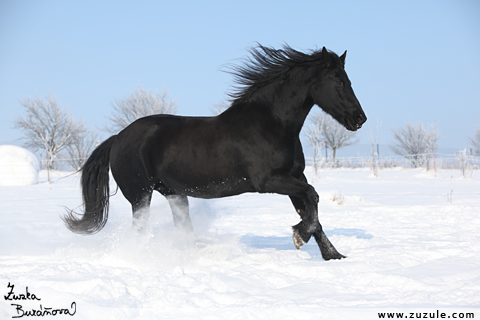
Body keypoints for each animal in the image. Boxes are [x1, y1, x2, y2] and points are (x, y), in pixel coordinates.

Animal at [62, 44, 364, 260]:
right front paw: (300, 237)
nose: (359, 119)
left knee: (182, 228)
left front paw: (334, 255)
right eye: (338, 81)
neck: (271, 123)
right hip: (140, 195)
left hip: (174, 193)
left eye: (349, 80)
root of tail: (118, 138)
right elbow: (312, 198)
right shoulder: (269, 181)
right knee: (140, 231)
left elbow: (311, 209)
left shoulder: (295, 178)